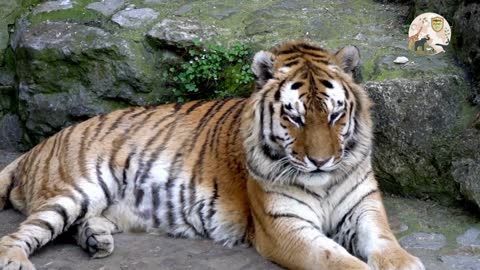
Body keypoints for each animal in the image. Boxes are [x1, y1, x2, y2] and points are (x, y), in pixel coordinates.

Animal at [0, 40, 426, 270]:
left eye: (335, 115)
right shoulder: (285, 226)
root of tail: (40, 145)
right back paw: (17, 259)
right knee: (17, 234)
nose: (320, 162)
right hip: (76, 190)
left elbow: (388, 245)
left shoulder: (364, 208)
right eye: (294, 117)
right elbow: (335, 258)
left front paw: (406, 261)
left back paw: (96, 240)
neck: (325, 181)